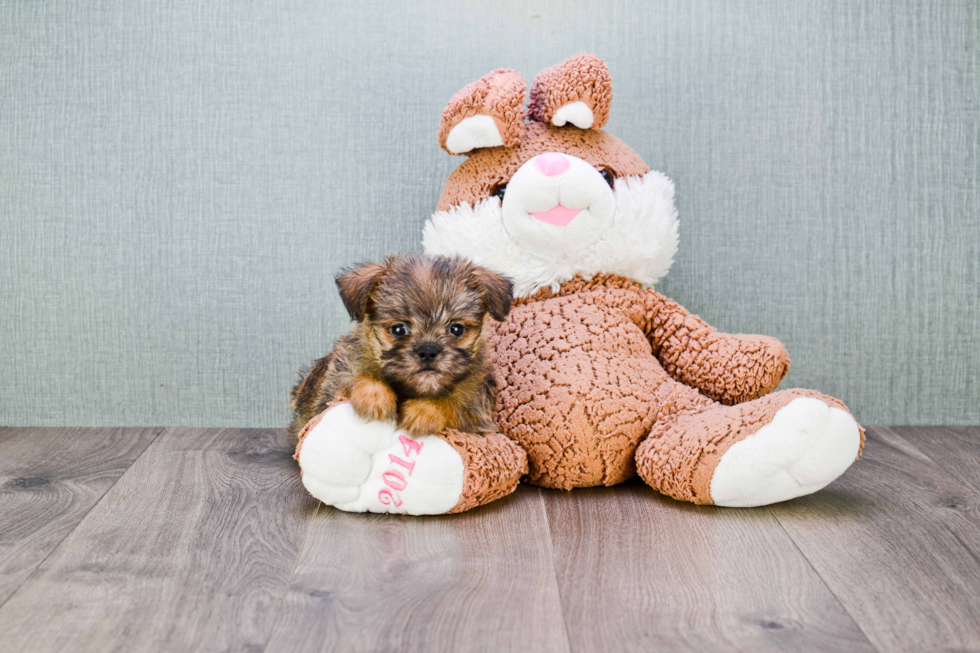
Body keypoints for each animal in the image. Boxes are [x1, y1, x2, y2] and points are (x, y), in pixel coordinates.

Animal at [290, 253, 512, 438]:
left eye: (456, 329)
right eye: (399, 330)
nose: (428, 351)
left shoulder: (479, 413)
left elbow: (456, 406)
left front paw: (426, 410)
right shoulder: (331, 389)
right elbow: (353, 380)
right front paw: (374, 395)